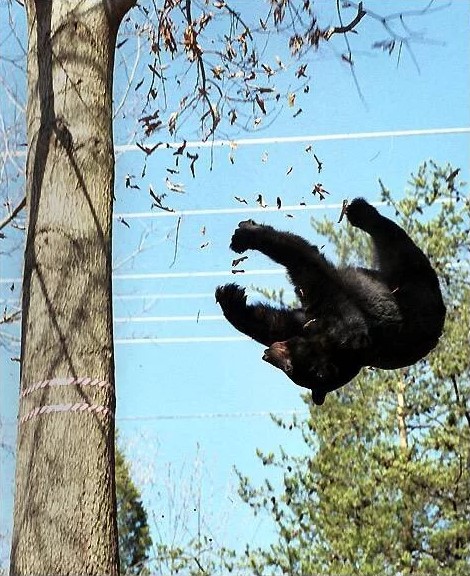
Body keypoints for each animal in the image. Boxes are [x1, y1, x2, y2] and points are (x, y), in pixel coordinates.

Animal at [215, 198, 446, 404]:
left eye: (290, 369)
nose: (268, 354)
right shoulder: (312, 325)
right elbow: (279, 324)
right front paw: (232, 301)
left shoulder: (341, 318)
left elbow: (310, 267)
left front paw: (250, 235)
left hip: (412, 279)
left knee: (394, 240)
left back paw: (362, 213)